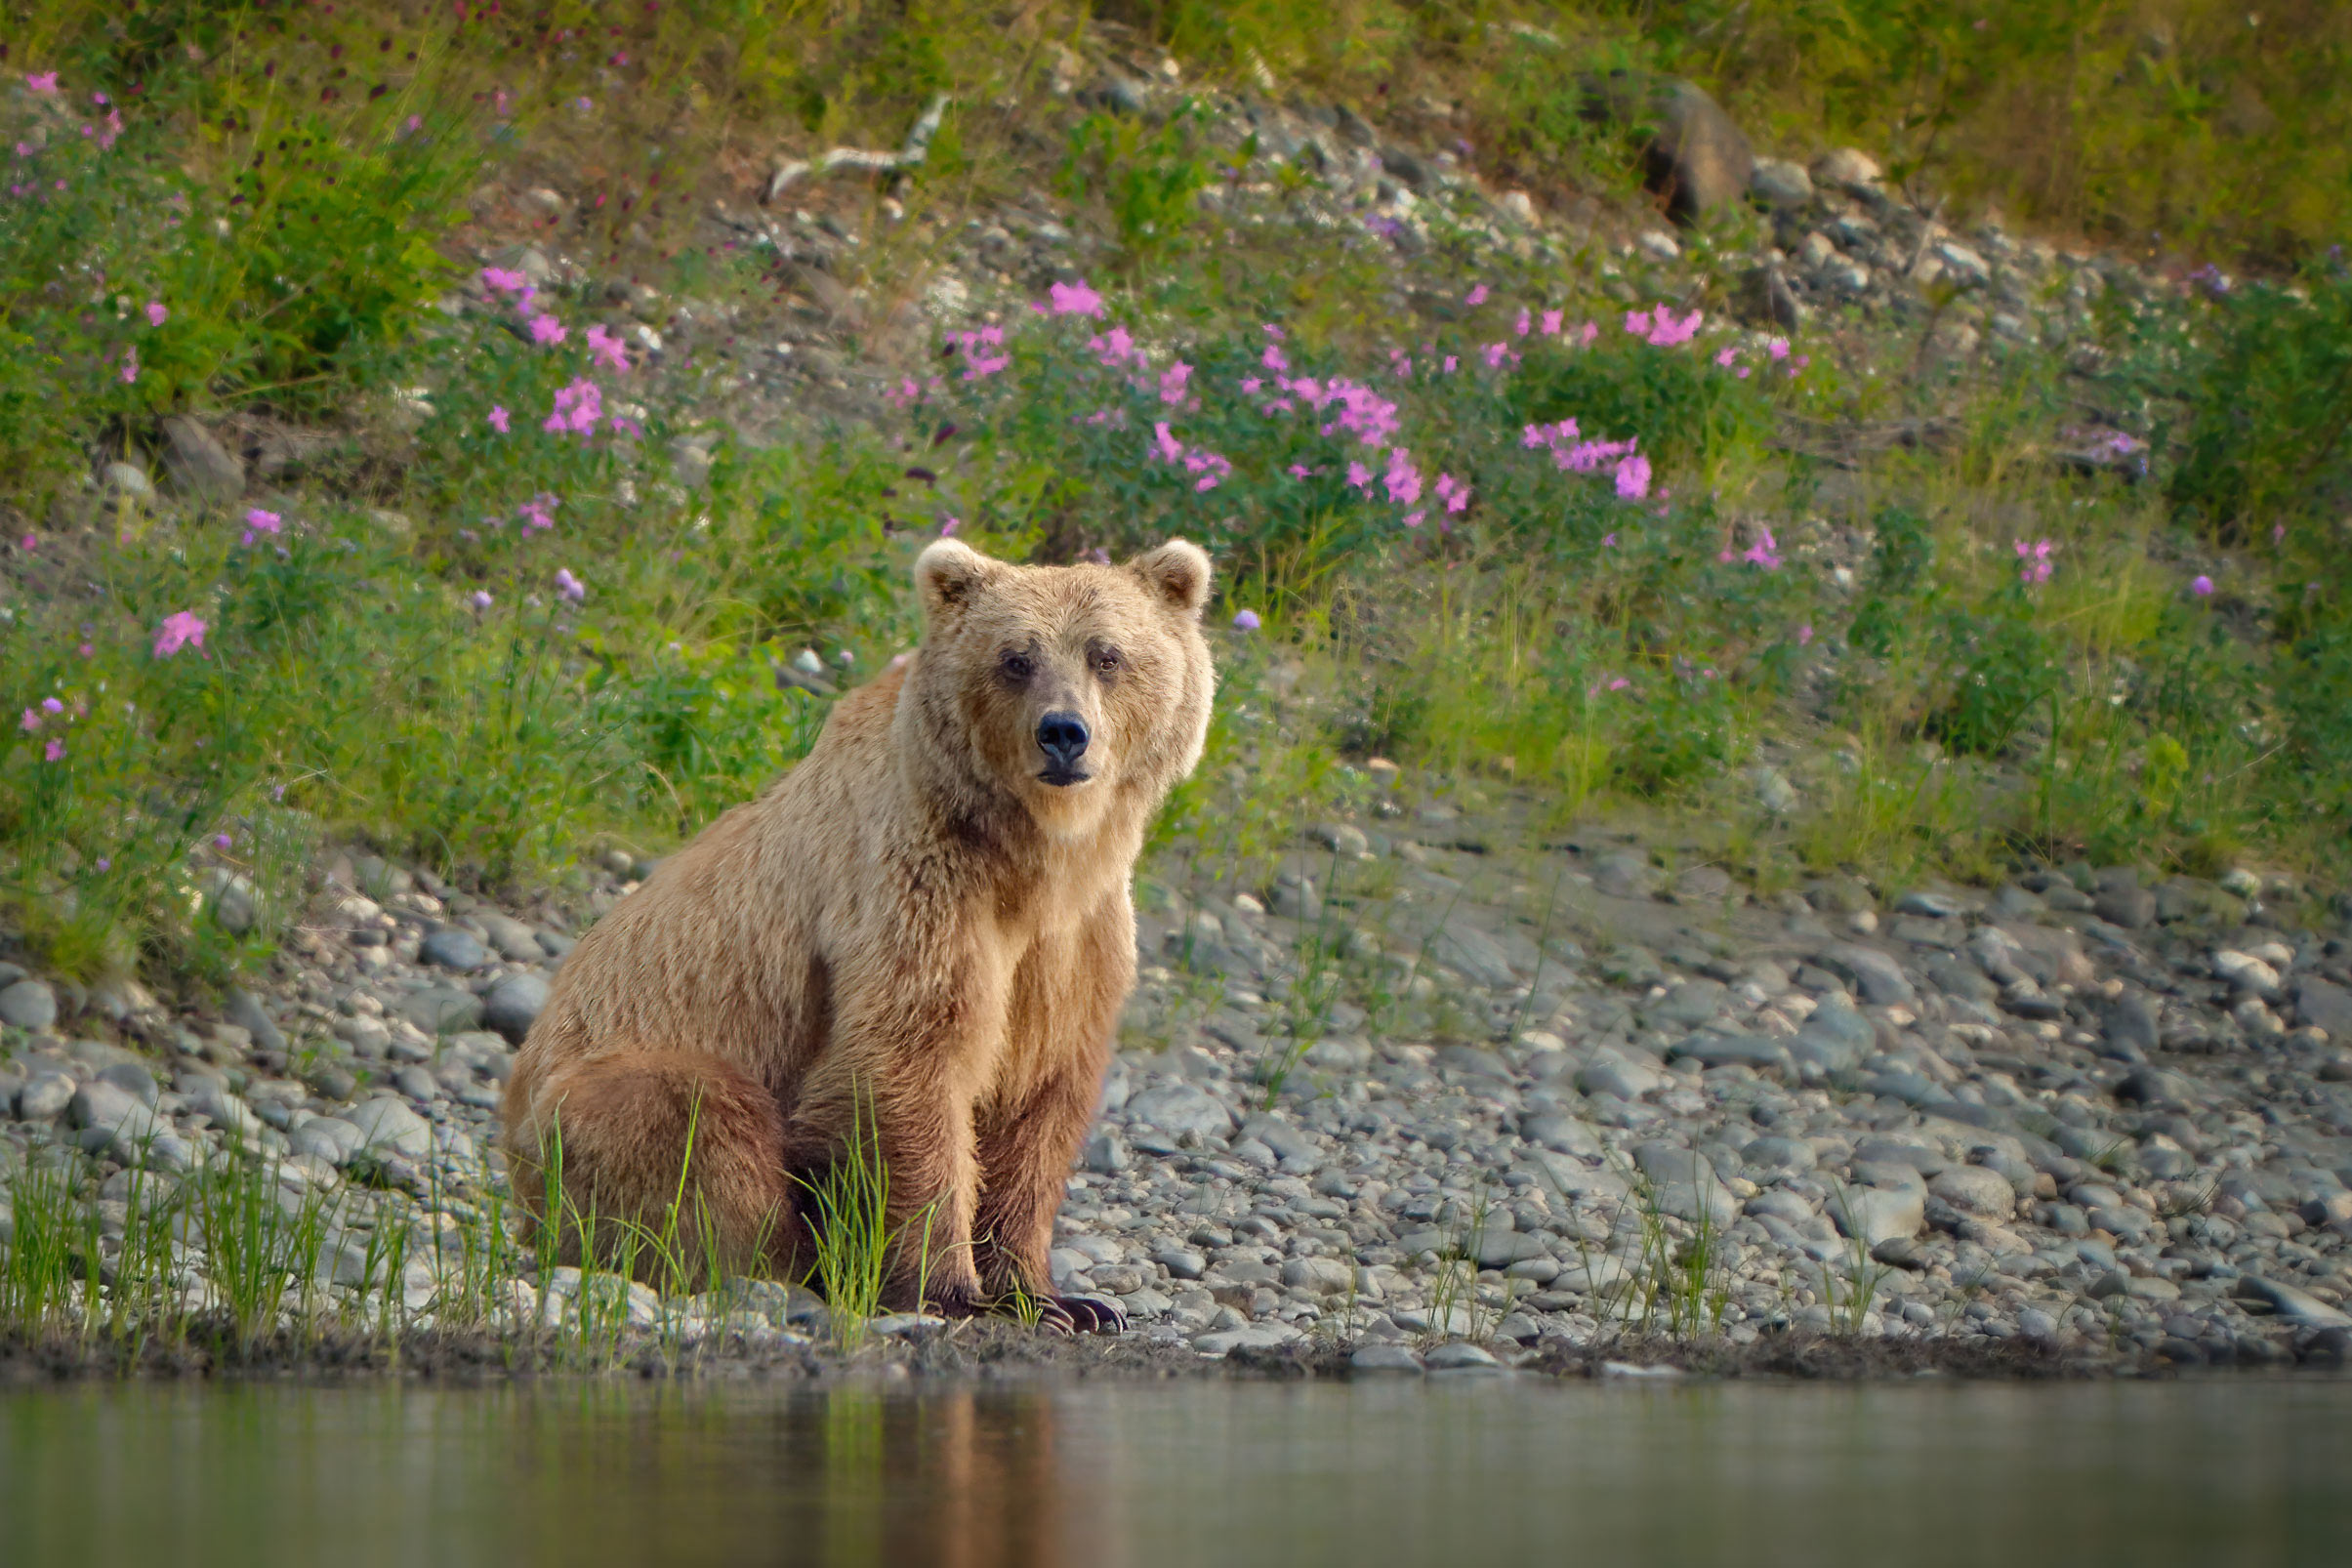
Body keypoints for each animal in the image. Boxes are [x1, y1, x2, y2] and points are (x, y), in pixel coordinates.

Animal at [501, 536, 1215, 1331]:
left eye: (1106, 654)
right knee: (693, 1117)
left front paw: (1056, 1299)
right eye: (1015, 658)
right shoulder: (914, 892)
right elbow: (908, 1065)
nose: (1063, 733)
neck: (1032, 860)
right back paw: (791, 1260)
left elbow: (1038, 1097)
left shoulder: (1072, 943)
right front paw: (947, 1288)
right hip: (596, 1092)